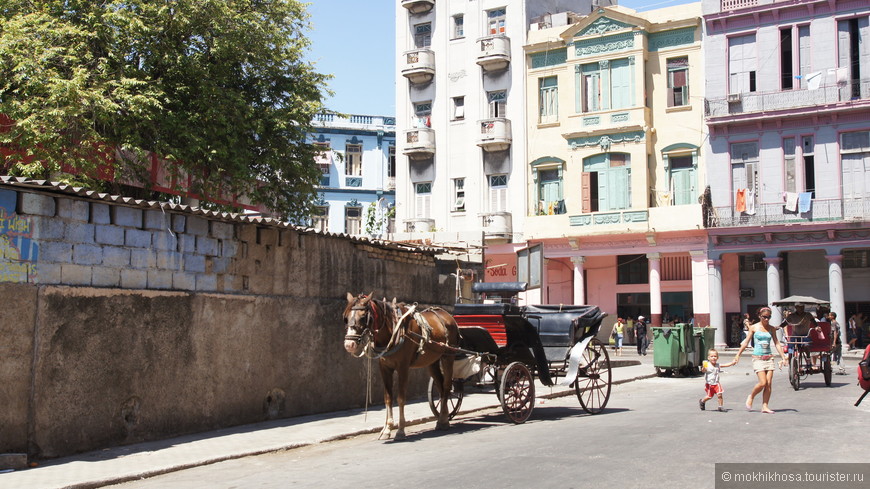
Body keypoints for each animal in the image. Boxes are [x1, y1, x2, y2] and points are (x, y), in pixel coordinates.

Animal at [342, 290, 460, 438]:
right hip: (432, 362)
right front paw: (387, 429)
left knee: (447, 385)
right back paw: (443, 419)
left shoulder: (403, 367)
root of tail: (448, 316)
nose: (349, 344)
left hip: (447, 357)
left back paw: (443, 420)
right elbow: (388, 398)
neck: (393, 331)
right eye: (345, 318)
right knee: (441, 386)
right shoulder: (385, 368)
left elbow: (401, 398)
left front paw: (400, 429)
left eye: (363, 317)